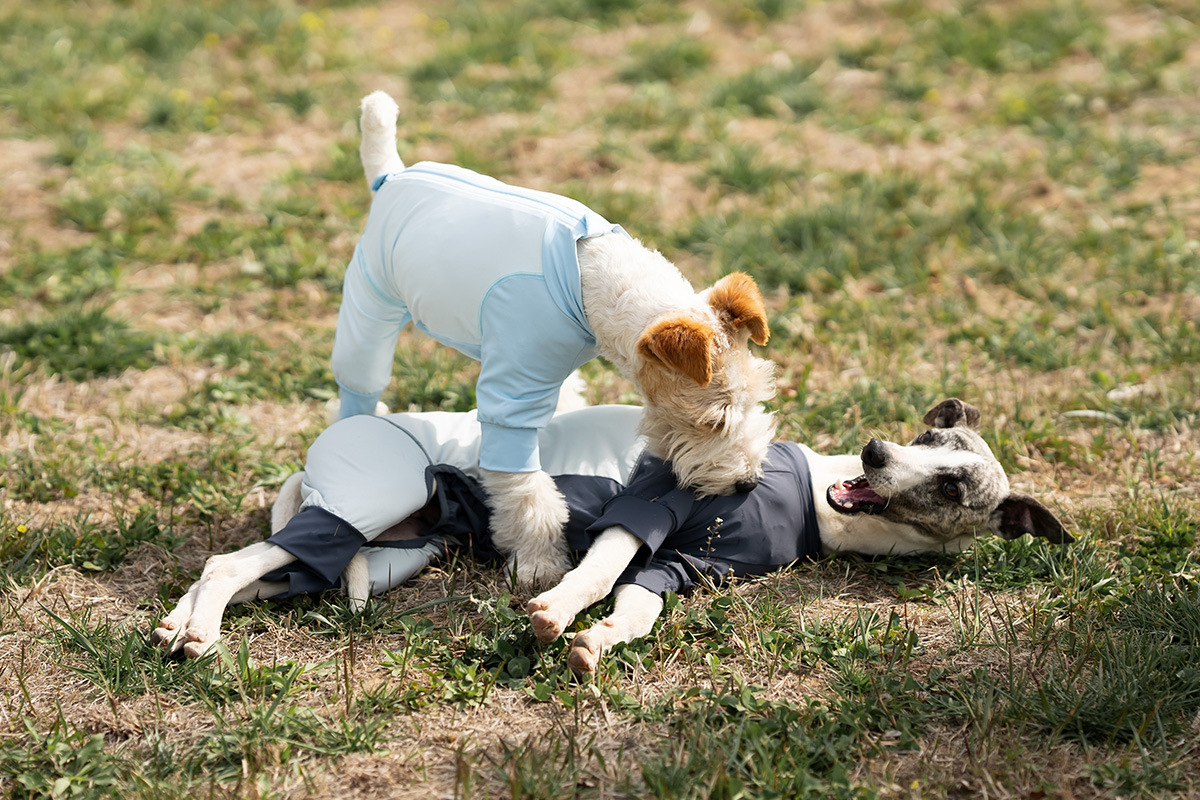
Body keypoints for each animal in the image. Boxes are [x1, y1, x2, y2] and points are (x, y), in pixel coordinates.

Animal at [151, 399, 1070, 667]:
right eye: (925, 434)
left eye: (952, 479)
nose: (878, 452)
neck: (808, 500)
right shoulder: (650, 508)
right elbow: (593, 575)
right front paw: (556, 615)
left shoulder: (687, 567)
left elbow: (637, 607)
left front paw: (597, 644)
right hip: (367, 504)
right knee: (227, 559)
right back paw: (196, 632)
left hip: (395, 551)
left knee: (262, 573)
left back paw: (178, 624)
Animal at [331, 91, 776, 585]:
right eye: (712, 422)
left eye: (757, 399)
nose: (748, 483)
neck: (594, 283)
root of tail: (392, 175)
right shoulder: (510, 400)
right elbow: (526, 491)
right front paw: (538, 564)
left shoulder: (543, 365)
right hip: (369, 304)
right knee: (358, 383)